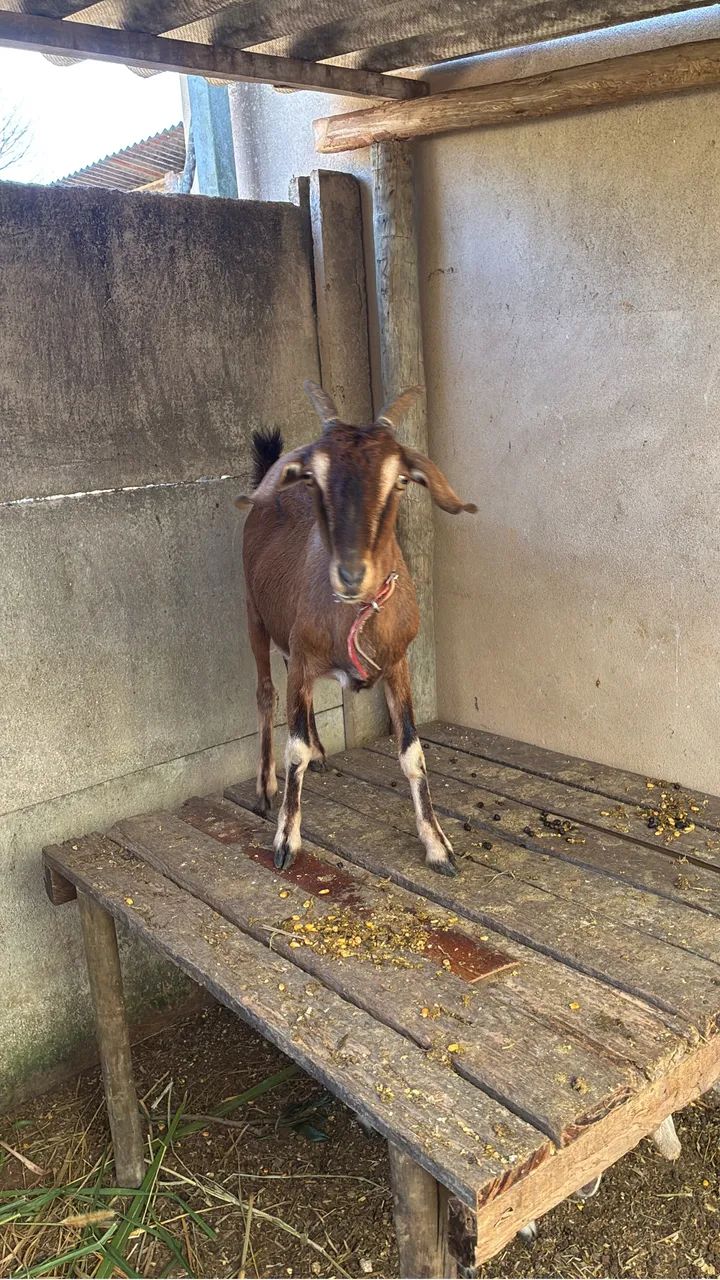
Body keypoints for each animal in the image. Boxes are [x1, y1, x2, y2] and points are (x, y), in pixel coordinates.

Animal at [238, 381, 477, 877]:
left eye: (401, 479)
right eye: (314, 477)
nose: (351, 575)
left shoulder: (398, 662)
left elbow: (412, 753)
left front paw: (438, 845)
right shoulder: (301, 654)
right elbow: (293, 750)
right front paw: (286, 841)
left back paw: (319, 750)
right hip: (253, 613)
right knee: (266, 692)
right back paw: (266, 787)